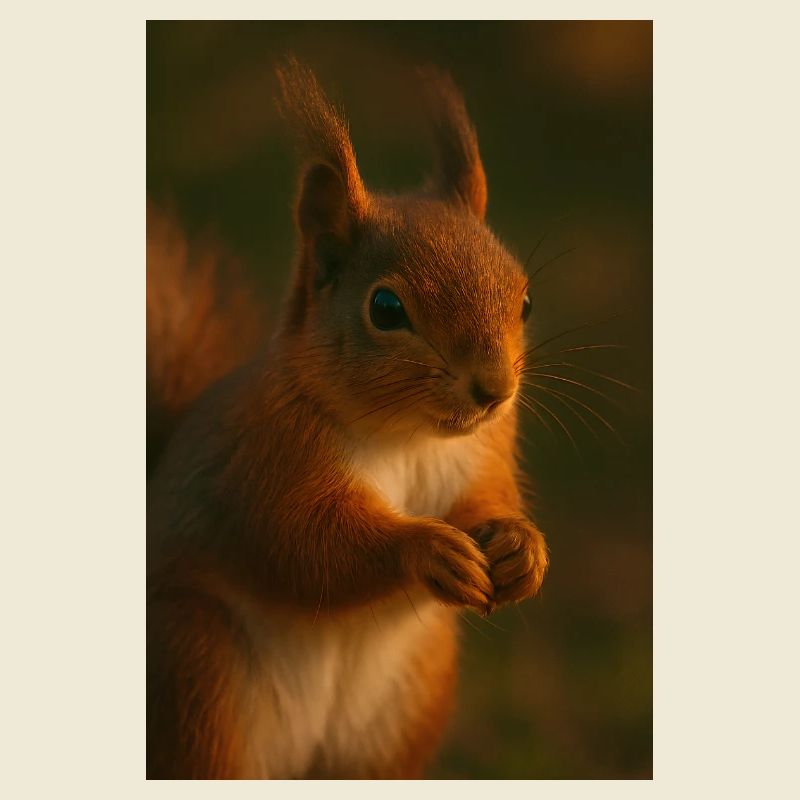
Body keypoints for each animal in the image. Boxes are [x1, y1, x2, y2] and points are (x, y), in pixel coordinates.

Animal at [147, 58, 549, 780]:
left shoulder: (485, 451)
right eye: (385, 309)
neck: (409, 436)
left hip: (402, 710)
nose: (495, 391)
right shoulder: (267, 461)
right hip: (198, 677)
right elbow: (309, 545)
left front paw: (520, 546)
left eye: (525, 300)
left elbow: (488, 498)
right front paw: (425, 548)